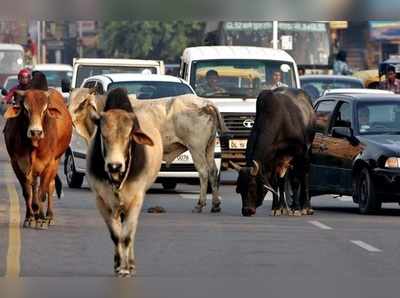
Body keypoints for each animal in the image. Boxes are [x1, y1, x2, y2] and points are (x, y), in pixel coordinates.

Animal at [2, 88, 72, 228]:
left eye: (44, 110)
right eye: (25, 109)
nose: (36, 132)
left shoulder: (50, 163)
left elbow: (42, 193)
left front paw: (41, 219)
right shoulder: (16, 163)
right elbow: (27, 192)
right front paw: (30, 218)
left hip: (56, 162)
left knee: (49, 187)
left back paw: (48, 216)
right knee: (34, 186)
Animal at [69, 87, 225, 213]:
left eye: (83, 102)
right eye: (69, 100)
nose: (69, 117)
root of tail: (205, 103)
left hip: (196, 148)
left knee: (203, 172)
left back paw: (200, 204)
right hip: (209, 147)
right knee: (213, 171)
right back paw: (215, 205)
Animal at [83, 89, 163, 278]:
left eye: (128, 137)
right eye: (103, 136)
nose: (114, 165)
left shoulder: (136, 199)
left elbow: (126, 236)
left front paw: (126, 268)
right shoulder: (101, 201)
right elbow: (115, 235)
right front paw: (118, 264)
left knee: (131, 232)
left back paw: (131, 263)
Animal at [231, 87, 316, 218]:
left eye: (252, 186)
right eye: (238, 189)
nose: (246, 211)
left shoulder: (298, 153)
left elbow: (295, 181)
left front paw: (296, 208)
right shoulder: (273, 160)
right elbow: (275, 183)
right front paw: (276, 208)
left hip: (307, 152)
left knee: (304, 175)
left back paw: (306, 207)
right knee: (282, 181)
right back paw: (283, 207)